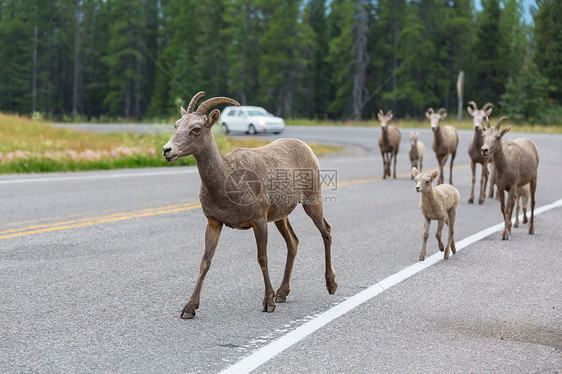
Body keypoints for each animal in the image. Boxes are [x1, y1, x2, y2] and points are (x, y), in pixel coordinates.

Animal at [162, 92, 336, 320]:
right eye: (176, 125)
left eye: (196, 128)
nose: (167, 150)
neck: (228, 182)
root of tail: (307, 148)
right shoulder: (214, 222)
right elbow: (205, 262)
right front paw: (189, 308)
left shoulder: (259, 221)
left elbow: (262, 258)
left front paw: (268, 303)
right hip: (281, 216)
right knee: (293, 242)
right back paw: (283, 292)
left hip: (312, 201)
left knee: (326, 231)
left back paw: (331, 285)